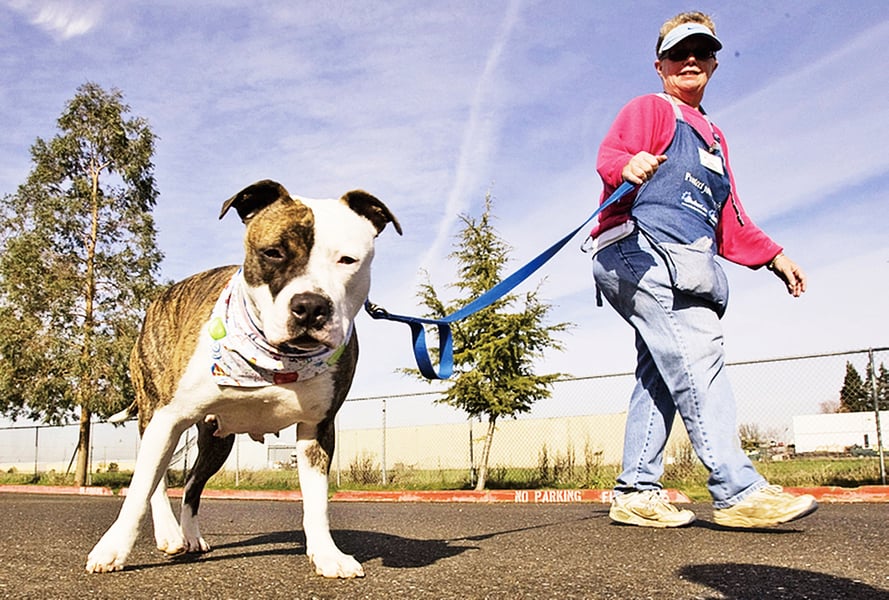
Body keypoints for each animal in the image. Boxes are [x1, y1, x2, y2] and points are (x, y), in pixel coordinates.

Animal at [86, 178, 398, 576]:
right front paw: (112, 550)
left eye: (347, 260)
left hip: (217, 442)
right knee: (156, 483)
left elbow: (317, 502)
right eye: (273, 253)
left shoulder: (316, 429)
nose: (311, 306)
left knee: (191, 486)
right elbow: (139, 490)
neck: (275, 359)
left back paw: (190, 536)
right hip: (154, 415)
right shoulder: (168, 419)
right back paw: (169, 534)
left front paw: (327, 555)